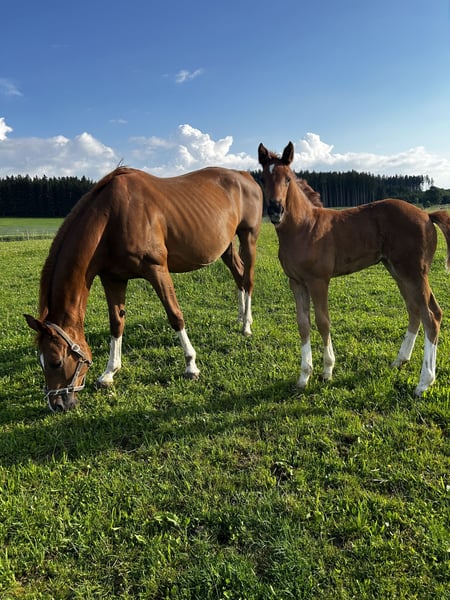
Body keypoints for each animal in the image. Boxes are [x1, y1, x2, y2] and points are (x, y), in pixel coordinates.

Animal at [24, 166, 263, 411]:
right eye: (40, 362)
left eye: (55, 362)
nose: (57, 404)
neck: (111, 218)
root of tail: (245, 175)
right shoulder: (113, 278)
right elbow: (116, 323)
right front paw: (109, 373)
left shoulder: (156, 269)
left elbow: (174, 315)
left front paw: (191, 365)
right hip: (226, 245)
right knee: (238, 275)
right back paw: (241, 317)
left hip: (248, 237)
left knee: (248, 279)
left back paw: (246, 326)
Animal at [258, 141, 450, 396]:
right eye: (262, 179)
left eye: (288, 179)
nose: (275, 210)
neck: (304, 228)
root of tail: (427, 216)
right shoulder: (296, 282)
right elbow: (303, 324)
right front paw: (303, 376)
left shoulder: (319, 281)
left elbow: (323, 321)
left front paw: (327, 371)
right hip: (398, 271)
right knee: (415, 310)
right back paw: (400, 360)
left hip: (414, 273)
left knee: (432, 316)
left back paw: (424, 382)